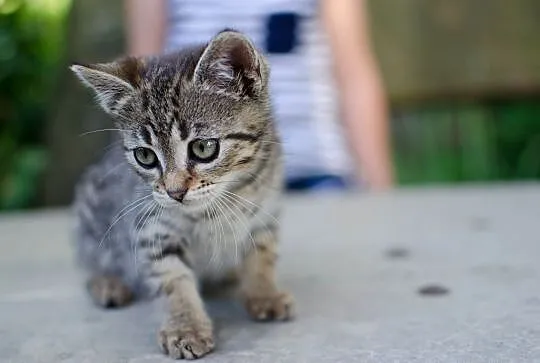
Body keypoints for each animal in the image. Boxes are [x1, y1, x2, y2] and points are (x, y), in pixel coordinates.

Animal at [71, 31, 294, 362]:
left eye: (203, 148)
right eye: (145, 156)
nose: (175, 192)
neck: (221, 202)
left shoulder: (264, 211)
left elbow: (262, 257)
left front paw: (264, 294)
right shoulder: (152, 227)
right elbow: (172, 279)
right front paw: (186, 327)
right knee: (92, 258)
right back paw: (108, 283)